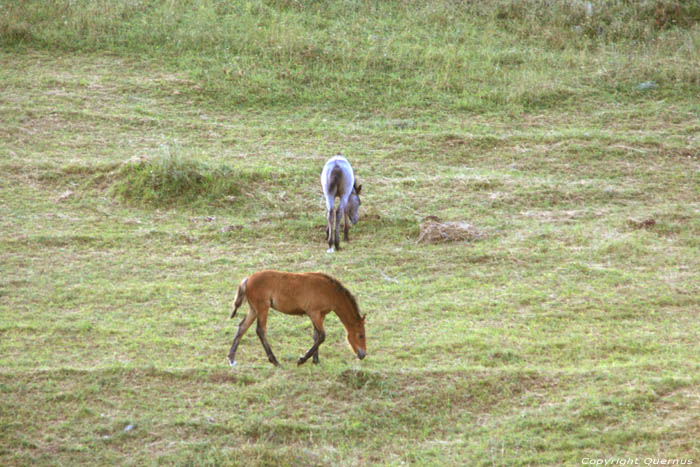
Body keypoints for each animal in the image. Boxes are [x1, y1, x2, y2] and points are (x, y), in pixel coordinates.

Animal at [228, 272, 366, 368]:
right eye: (361, 335)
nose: (363, 355)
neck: (330, 291)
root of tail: (248, 279)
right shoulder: (314, 314)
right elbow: (322, 336)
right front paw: (302, 360)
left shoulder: (319, 316)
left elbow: (316, 336)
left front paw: (316, 361)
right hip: (262, 308)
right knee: (260, 330)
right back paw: (275, 362)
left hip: (254, 310)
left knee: (242, 327)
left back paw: (231, 359)